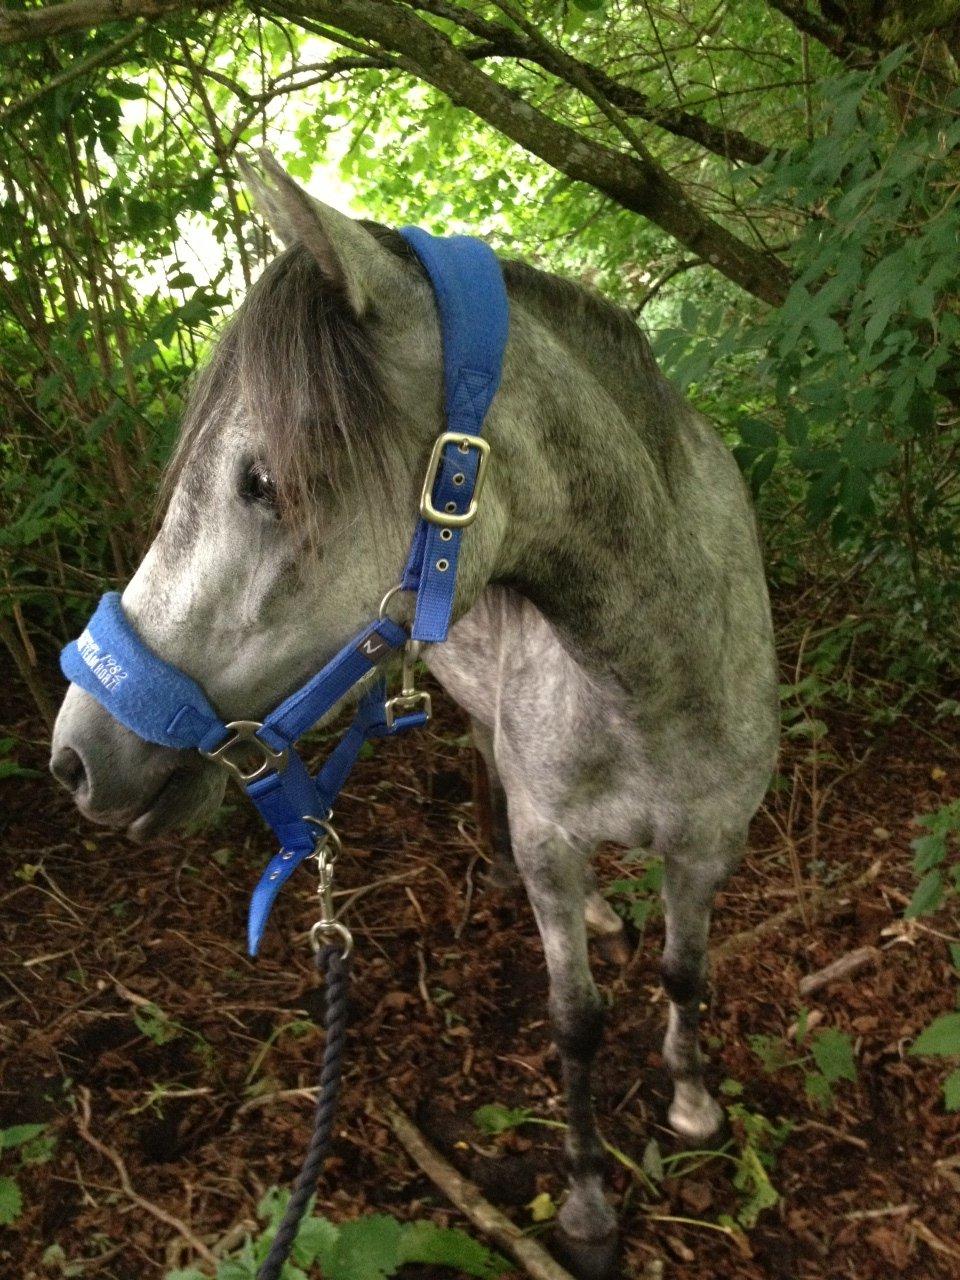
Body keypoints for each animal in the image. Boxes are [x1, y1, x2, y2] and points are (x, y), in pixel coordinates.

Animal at [50, 155, 779, 1275]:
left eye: (262, 479)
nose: (76, 754)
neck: (658, 670)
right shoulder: (552, 839)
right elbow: (576, 1018)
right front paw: (587, 1204)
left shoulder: (710, 843)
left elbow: (684, 969)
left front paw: (693, 1100)